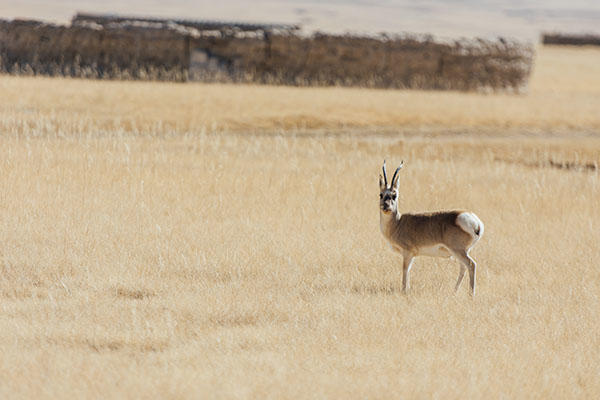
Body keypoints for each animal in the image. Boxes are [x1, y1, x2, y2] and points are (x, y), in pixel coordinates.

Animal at [378, 161, 486, 296]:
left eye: (394, 195)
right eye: (381, 194)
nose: (385, 207)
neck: (397, 223)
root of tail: (475, 222)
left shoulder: (407, 253)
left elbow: (405, 270)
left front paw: (404, 291)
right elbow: (408, 271)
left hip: (458, 251)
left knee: (471, 265)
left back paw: (471, 295)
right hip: (461, 252)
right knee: (463, 268)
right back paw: (454, 291)